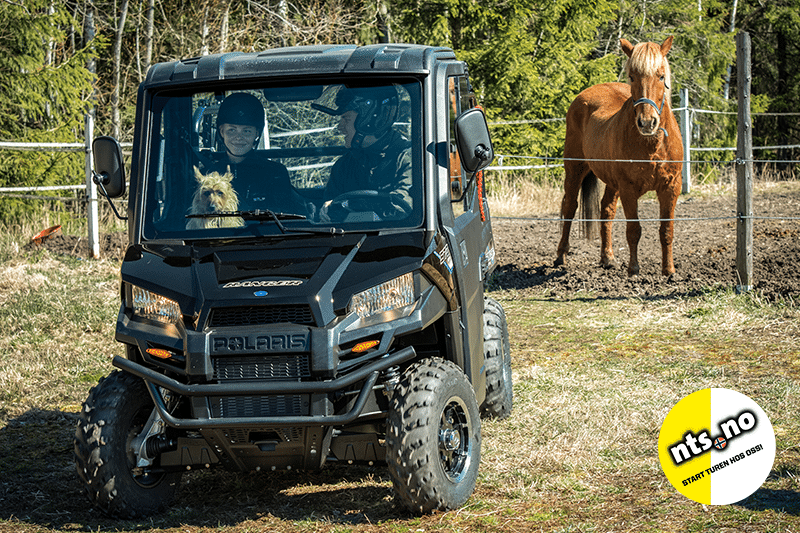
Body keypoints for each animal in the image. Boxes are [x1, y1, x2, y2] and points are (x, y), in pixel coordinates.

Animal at [556, 37, 680, 276]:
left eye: (661, 76)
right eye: (632, 76)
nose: (647, 122)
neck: (652, 146)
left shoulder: (671, 187)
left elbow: (666, 230)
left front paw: (669, 271)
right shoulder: (628, 189)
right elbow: (634, 230)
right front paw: (634, 269)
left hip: (611, 181)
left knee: (607, 210)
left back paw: (608, 257)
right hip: (575, 170)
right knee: (569, 207)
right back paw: (561, 256)